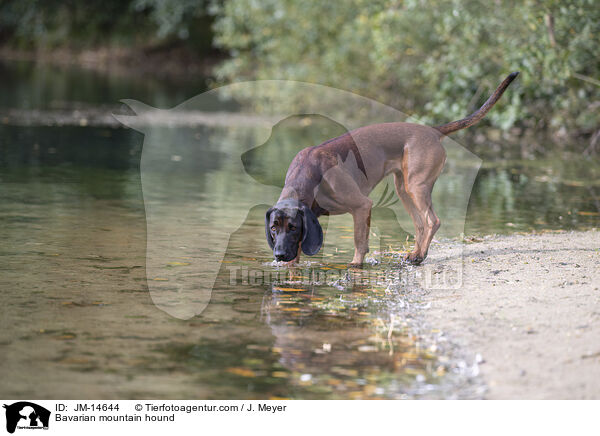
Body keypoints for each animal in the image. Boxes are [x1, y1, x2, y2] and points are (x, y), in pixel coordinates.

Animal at [264, 73, 516, 264]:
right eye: (274, 228)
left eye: (293, 227)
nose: (279, 255)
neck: (308, 176)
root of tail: (433, 131)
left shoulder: (362, 206)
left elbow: (359, 243)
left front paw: (355, 267)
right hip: (403, 189)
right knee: (420, 224)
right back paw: (416, 254)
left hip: (416, 186)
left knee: (432, 221)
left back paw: (420, 255)